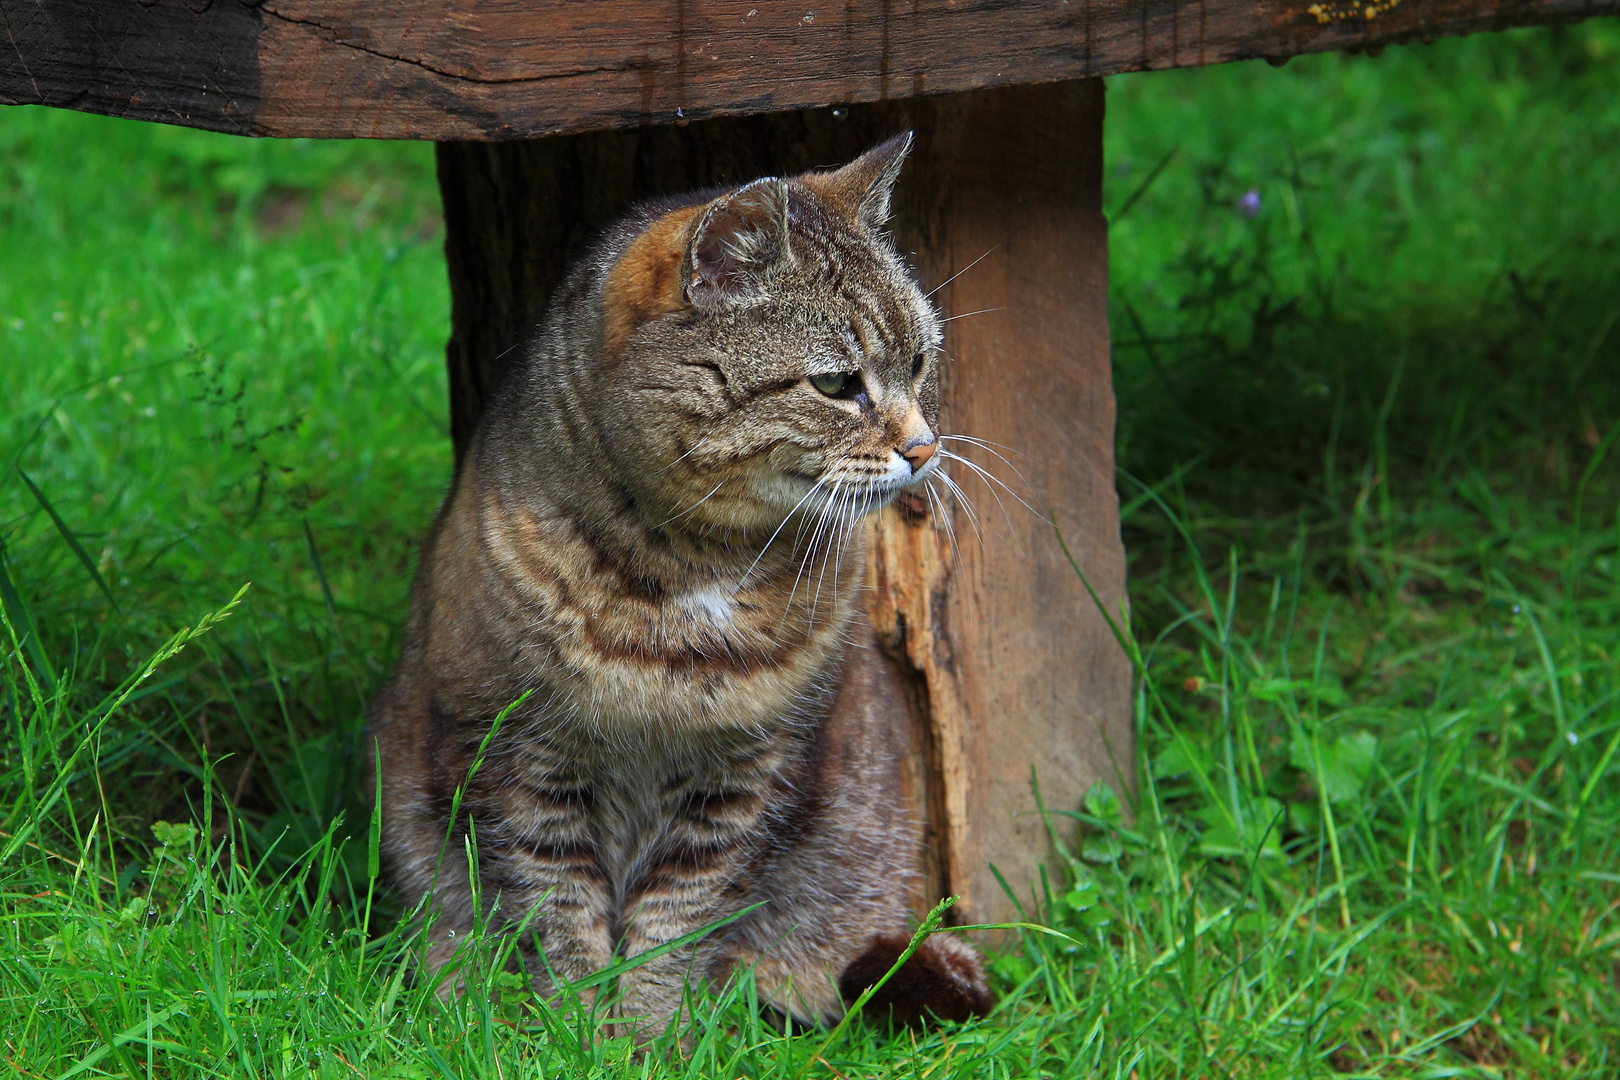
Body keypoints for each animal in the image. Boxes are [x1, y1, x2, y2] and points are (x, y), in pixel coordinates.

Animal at [369, 135, 991, 1036]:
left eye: (917, 364)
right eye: (836, 384)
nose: (924, 447)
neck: (700, 570)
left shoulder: (743, 779)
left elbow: (675, 924)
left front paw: (646, 1037)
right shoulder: (522, 766)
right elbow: (561, 915)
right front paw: (575, 1034)